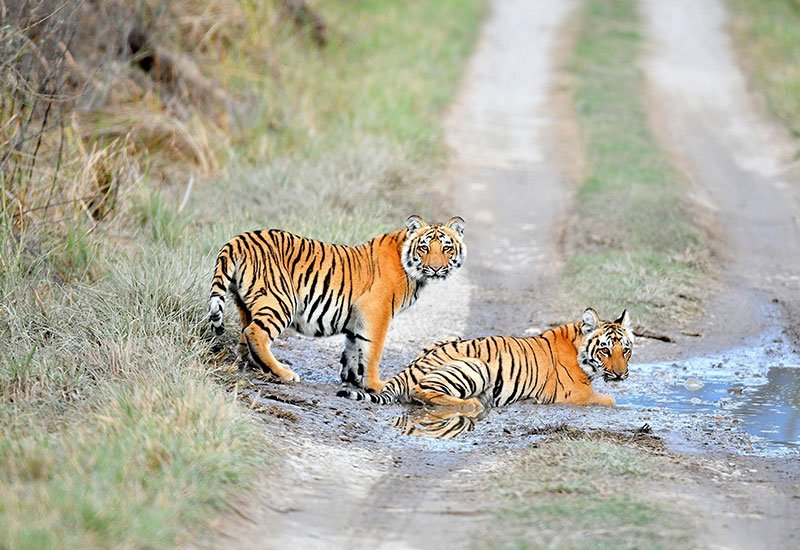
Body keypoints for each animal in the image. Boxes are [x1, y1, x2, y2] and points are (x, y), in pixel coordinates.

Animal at [208, 215, 466, 392]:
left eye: (446, 248)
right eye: (424, 248)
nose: (436, 268)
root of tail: (239, 239)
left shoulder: (357, 317)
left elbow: (353, 347)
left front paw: (352, 378)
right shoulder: (376, 312)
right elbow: (373, 350)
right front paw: (375, 385)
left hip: (246, 303)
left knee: (245, 333)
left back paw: (251, 364)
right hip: (281, 301)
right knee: (256, 333)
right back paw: (283, 372)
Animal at [338, 308, 633, 409]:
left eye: (626, 350)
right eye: (605, 350)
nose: (621, 374)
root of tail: (408, 369)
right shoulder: (576, 394)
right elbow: (609, 400)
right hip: (476, 366)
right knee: (422, 392)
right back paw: (472, 404)